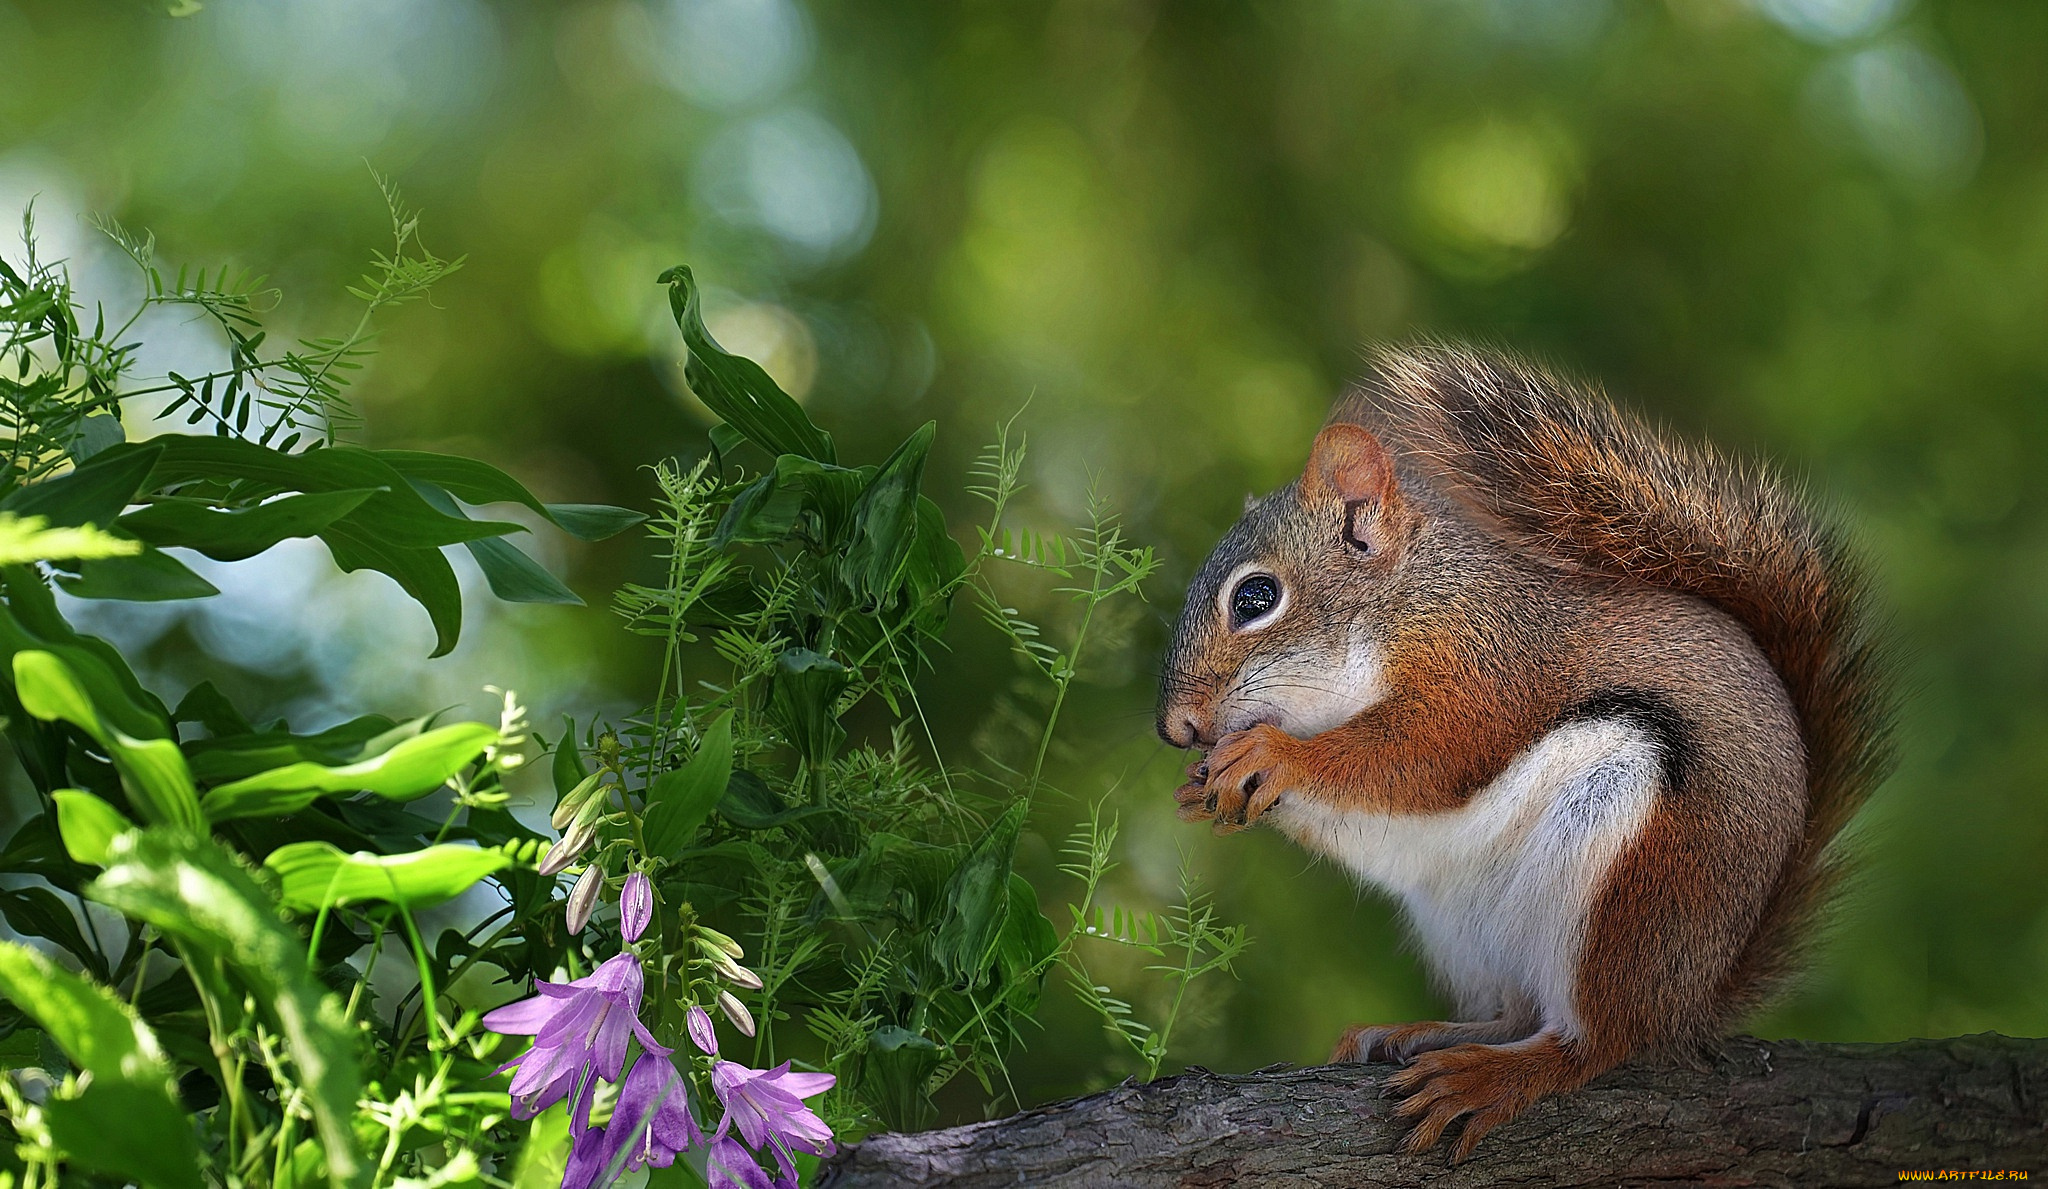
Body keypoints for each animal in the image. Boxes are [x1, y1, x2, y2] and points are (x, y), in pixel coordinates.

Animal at [1163, 345, 1892, 1162]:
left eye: (1256, 597)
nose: (1176, 728)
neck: (1411, 600)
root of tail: (1692, 996)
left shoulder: (1488, 668)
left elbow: (1427, 757)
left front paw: (1273, 753)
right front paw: (1202, 787)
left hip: (1634, 876)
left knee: (1595, 1039)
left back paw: (1493, 1077)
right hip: (1465, 924)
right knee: (1518, 1011)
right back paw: (1420, 1033)